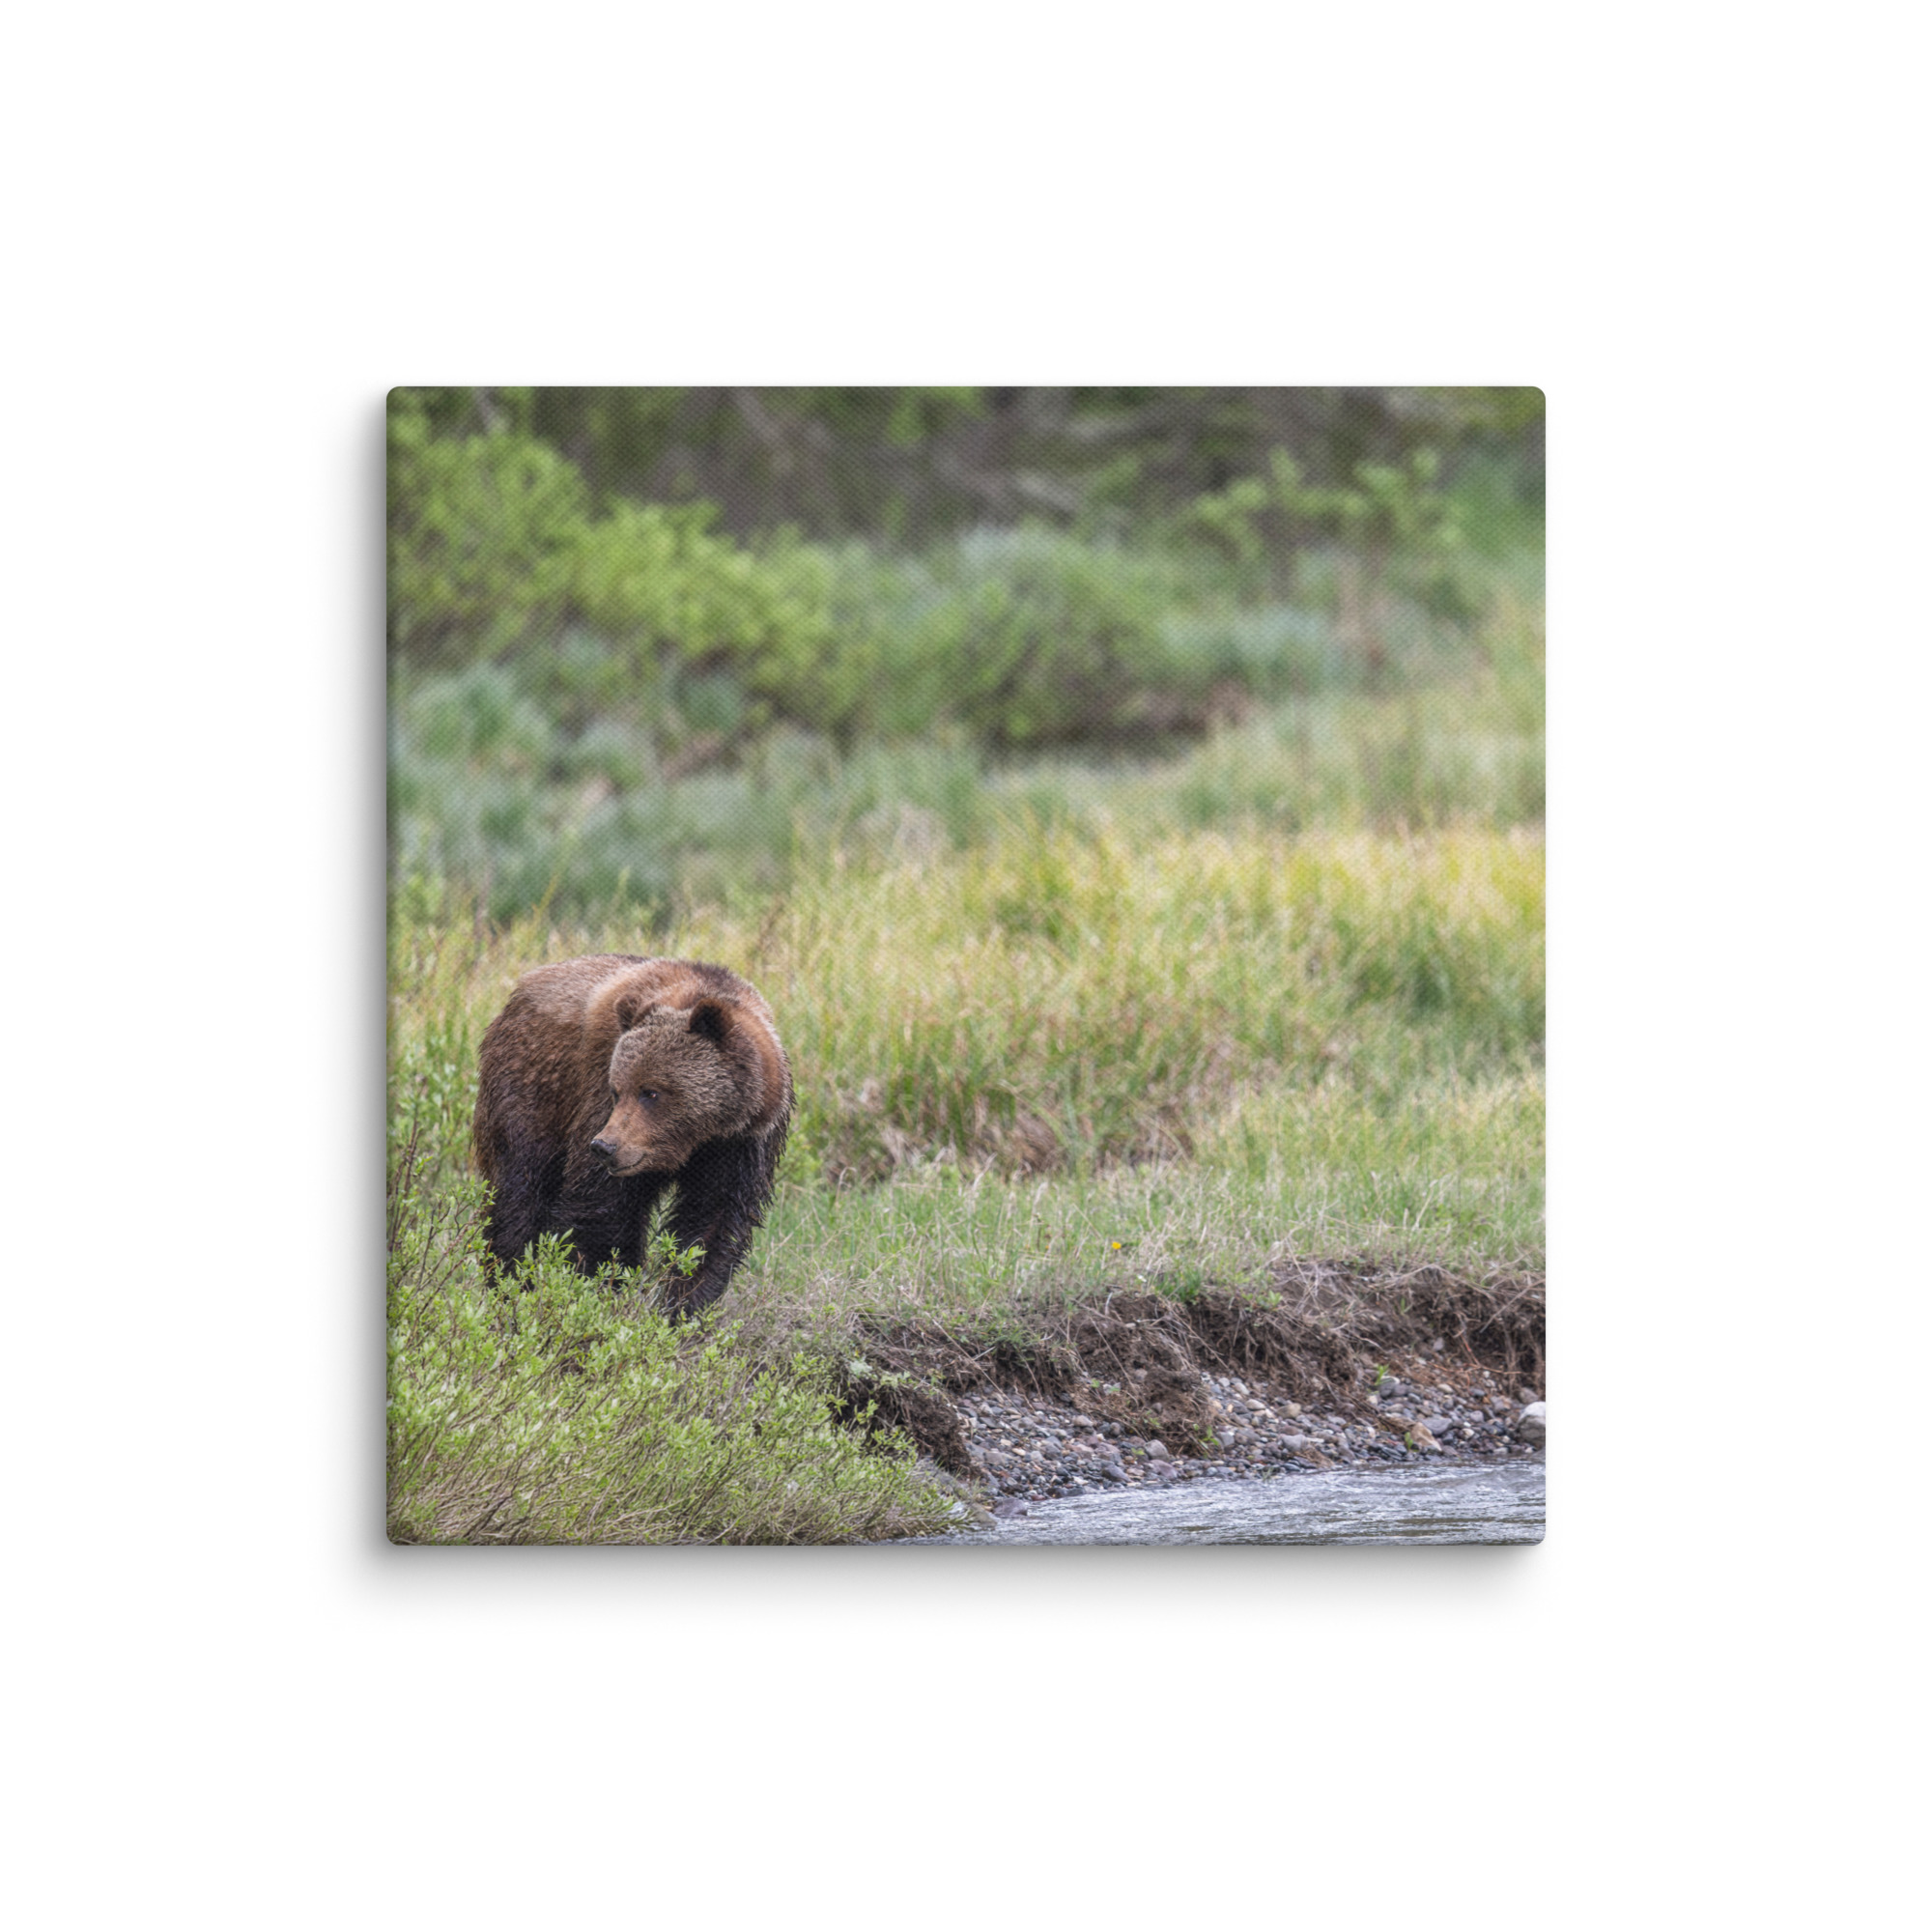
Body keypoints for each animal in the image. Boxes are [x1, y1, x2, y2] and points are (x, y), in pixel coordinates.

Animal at [472, 954, 792, 1314]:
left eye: (651, 1092)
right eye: (617, 1090)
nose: (605, 1147)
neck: (698, 1138)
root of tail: (520, 990)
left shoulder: (741, 1144)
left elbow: (712, 1222)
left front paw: (682, 1305)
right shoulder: (597, 1095)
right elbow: (602, 1210)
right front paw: (596, 1288)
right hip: (532, 1089)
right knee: (520, 1189)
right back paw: (510, 1284)